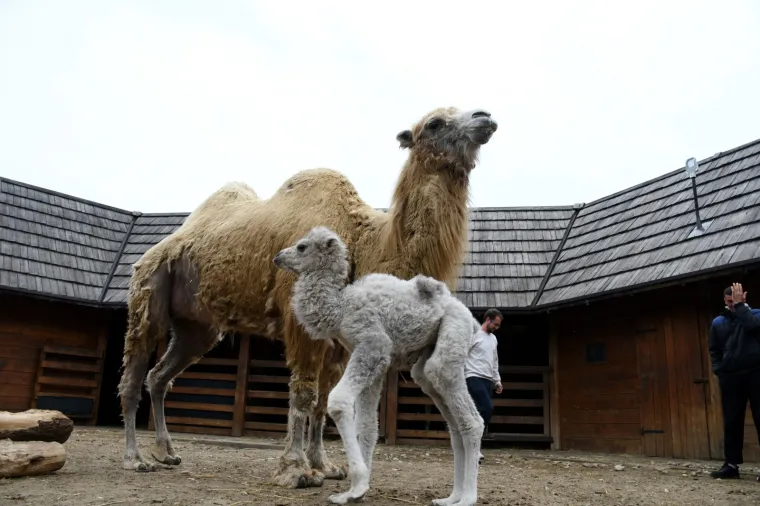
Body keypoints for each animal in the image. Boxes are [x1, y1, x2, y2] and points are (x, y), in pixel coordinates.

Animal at [274, 226, 484, 506]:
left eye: (302, 247)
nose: (277, 257)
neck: (340, 308)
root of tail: (471, 319)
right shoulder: (374, 363)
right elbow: (367, 426)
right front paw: (354, 492)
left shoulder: (373, 344)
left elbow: (339, 402)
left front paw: (358, 482)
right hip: (426, 367)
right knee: (452, 422)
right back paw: (450, 498)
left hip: (451, 338)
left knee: (471, 419)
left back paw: (468, 498)